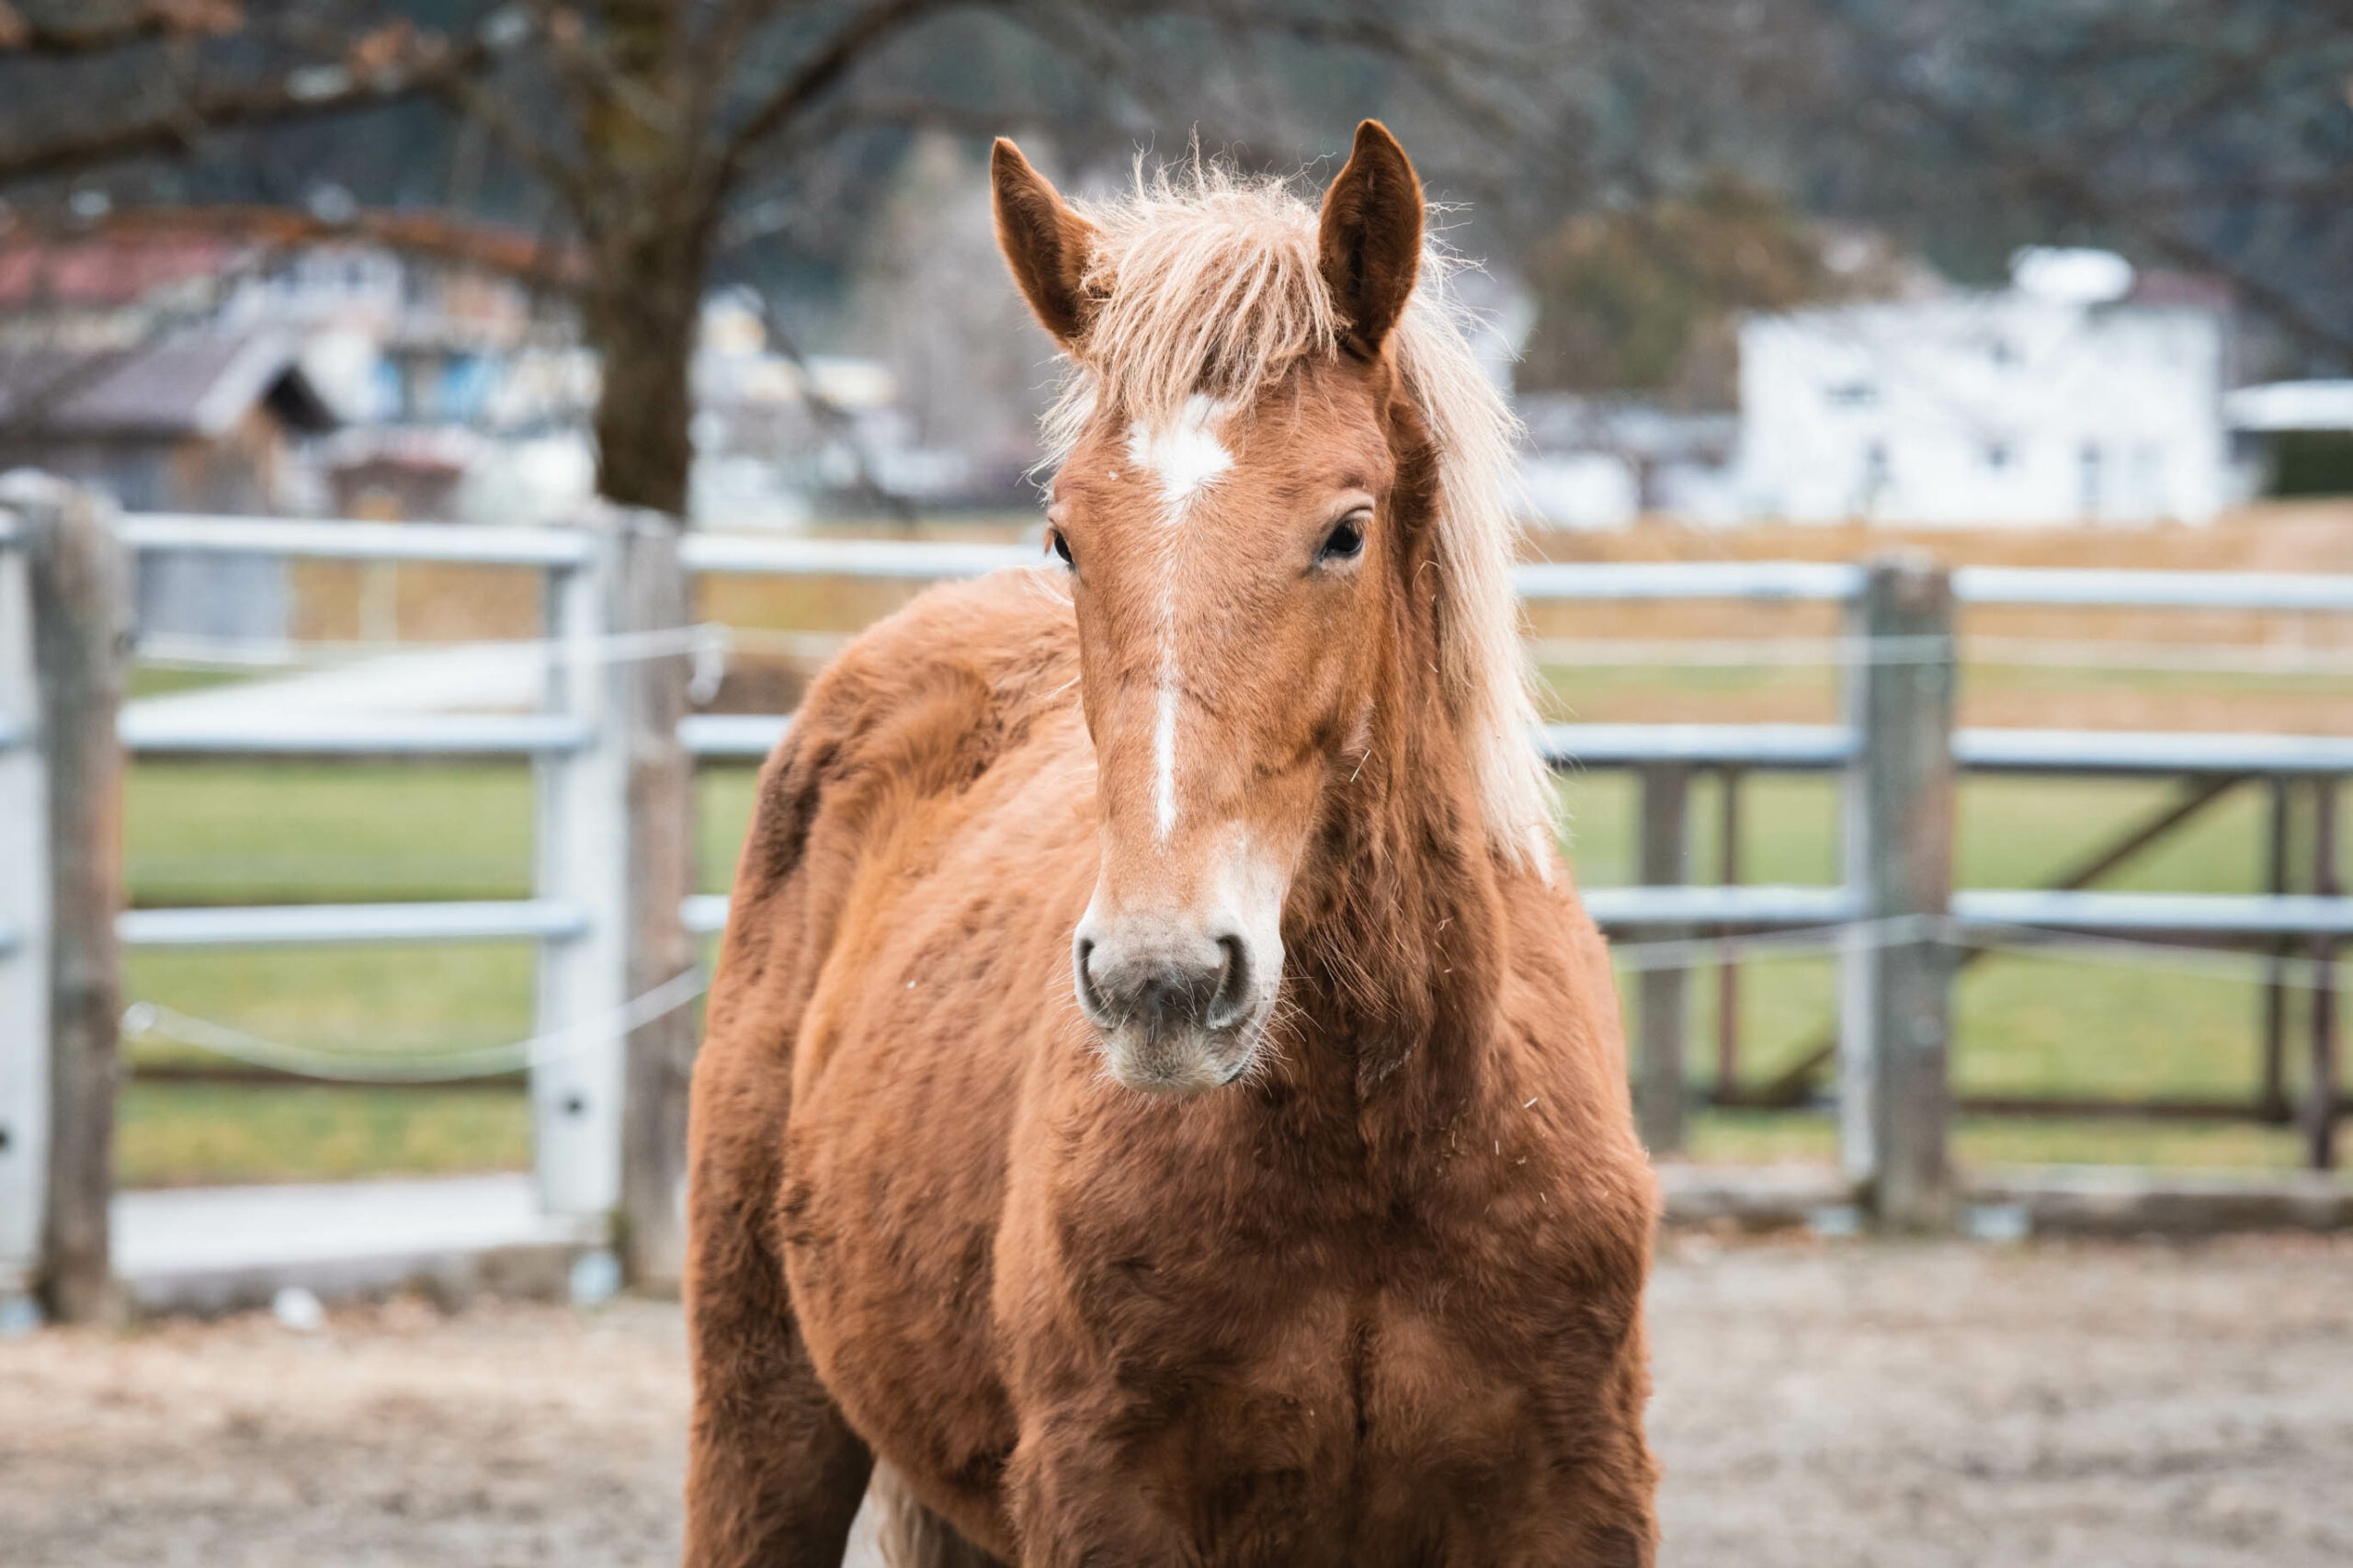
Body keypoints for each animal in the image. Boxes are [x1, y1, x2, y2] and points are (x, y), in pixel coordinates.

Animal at [687, 125, 1665, 1562]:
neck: (1378, 1148)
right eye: (1066, 533)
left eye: (1346, 529)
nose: (1162, 979)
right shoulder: (1105, 1499)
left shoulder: (1579, 1498)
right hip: (763, 1413)